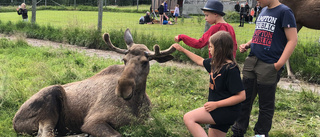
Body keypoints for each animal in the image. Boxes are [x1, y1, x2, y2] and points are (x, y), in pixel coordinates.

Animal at [12, 28, 176, 136]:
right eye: (124, 60)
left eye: (145, 62)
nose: (123, 88)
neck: (137, 103)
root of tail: (14, 122)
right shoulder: (93, 121)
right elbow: (117, 134)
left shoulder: (148, 120)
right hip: (51, 99)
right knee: (46, 133)